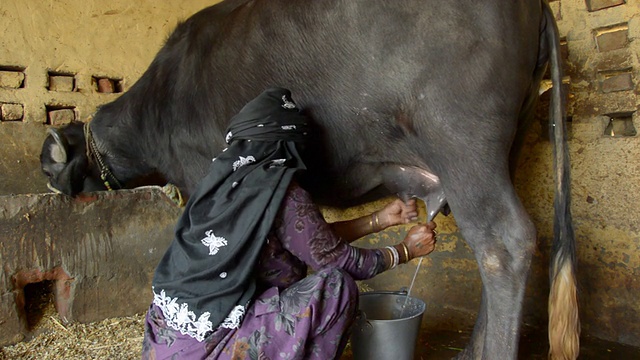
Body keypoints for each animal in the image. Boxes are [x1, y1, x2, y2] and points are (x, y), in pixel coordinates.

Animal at [40, 1, 580, 358]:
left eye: (53, 166)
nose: (48, 180)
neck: (162, 103)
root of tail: (534, 4)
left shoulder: (201, 177)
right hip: (508, 144)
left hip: (463, 144)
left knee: (504, 243)